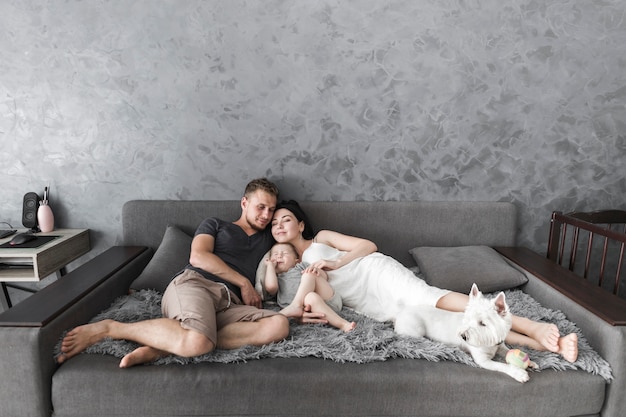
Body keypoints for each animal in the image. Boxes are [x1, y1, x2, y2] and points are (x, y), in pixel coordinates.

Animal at [392, 282, 532, 382]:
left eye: (482, 323)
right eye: (468, 319)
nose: (463, 336)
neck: (489, 343)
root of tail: (399, 315)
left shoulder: (500, 345)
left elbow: (507, 350)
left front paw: (531, 363)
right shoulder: (483, 361)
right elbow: (501, 366)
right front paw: (519, 373)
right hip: (416, 329)